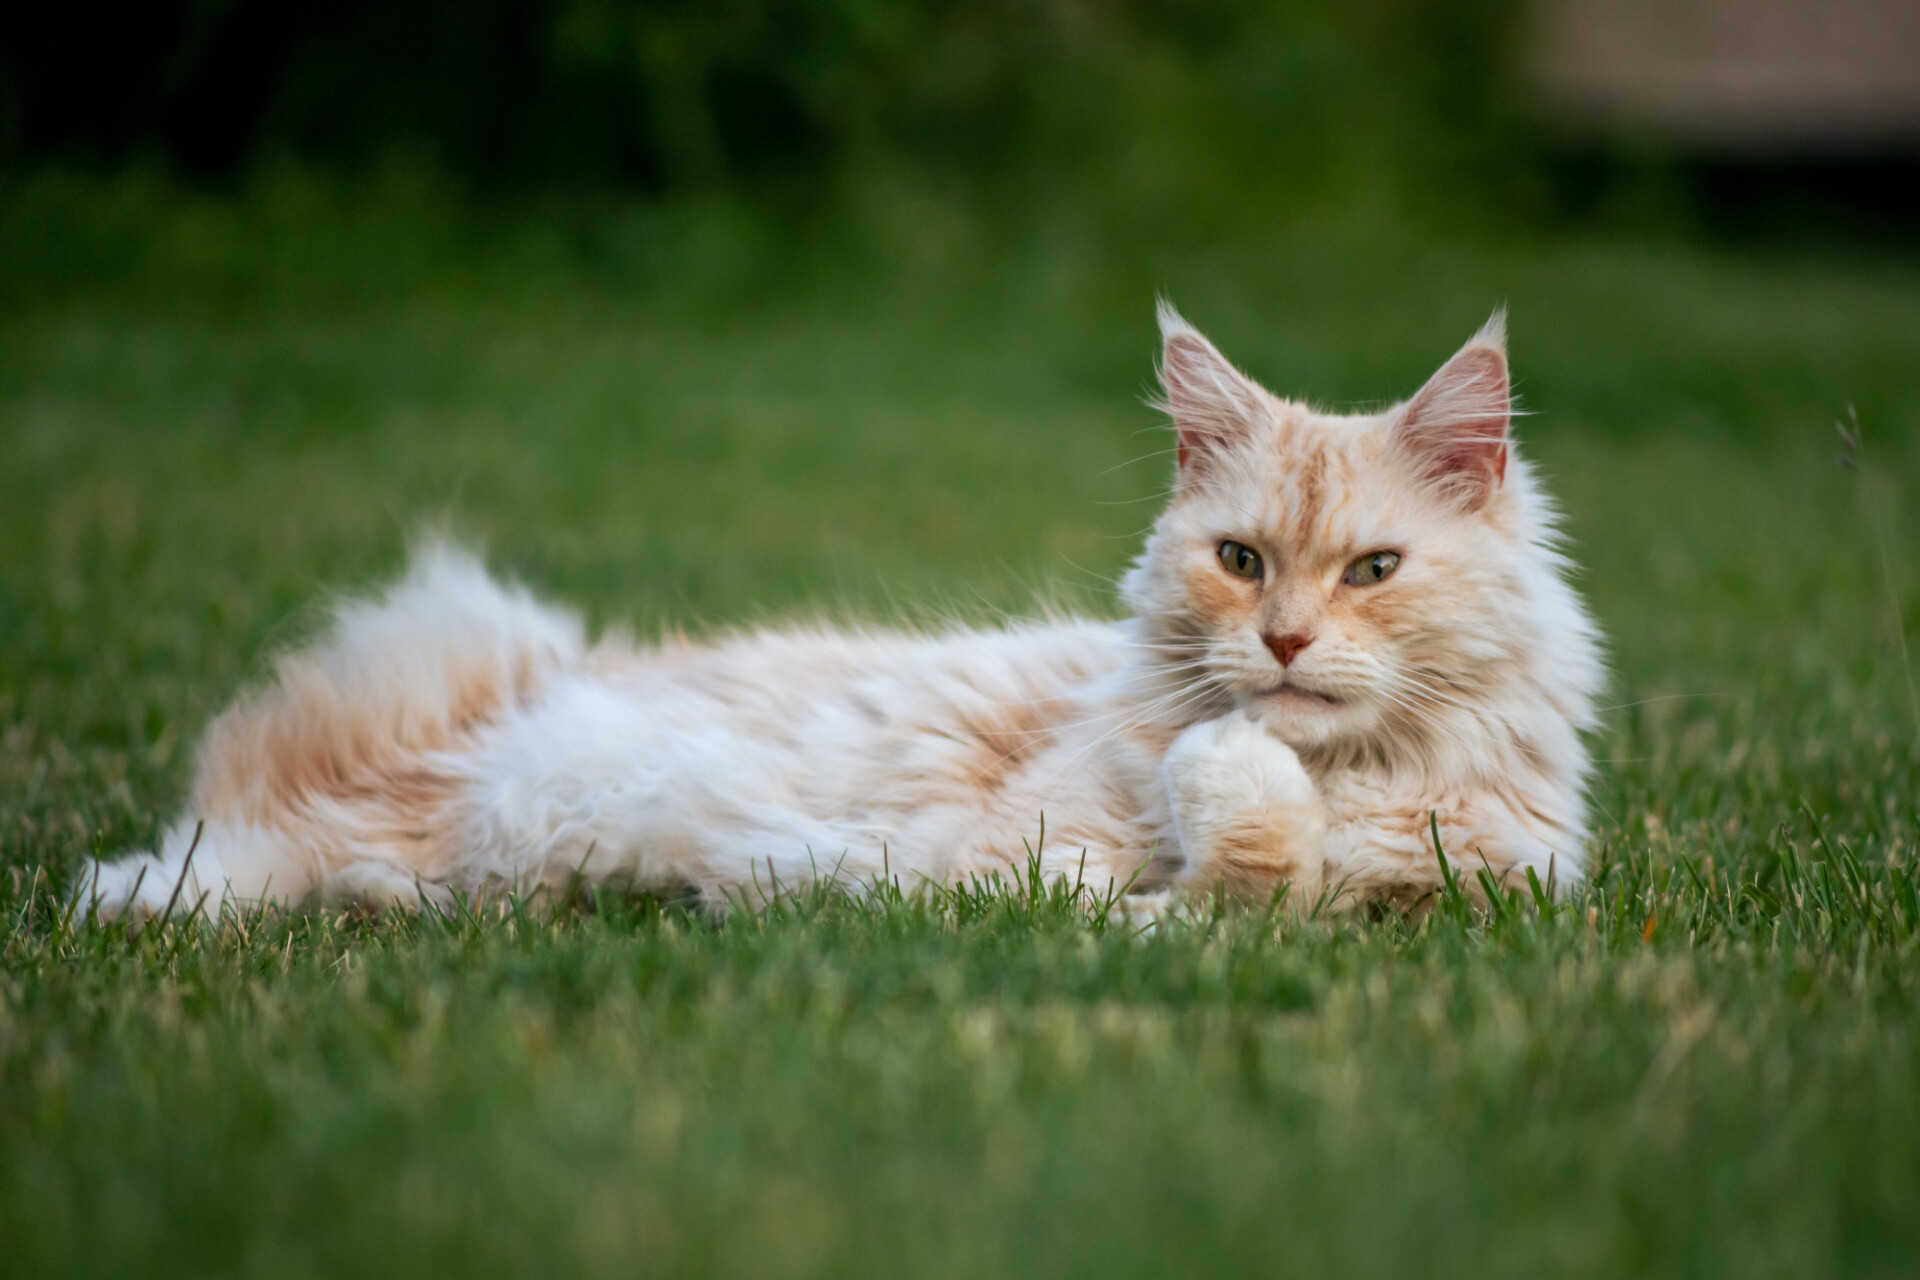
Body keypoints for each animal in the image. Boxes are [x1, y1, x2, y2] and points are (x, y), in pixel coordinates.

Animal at [74, 305, 1605, 917]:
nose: (1283, 643)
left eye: (1371, 573)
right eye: (1240, 560)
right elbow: (1230, 847)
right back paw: (131, 907)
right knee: (247, 844)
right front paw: (1229, 763)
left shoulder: (1458, 892)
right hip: (474, 800)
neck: (1354, 775)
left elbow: (1267, 877)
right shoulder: (1025, 853)